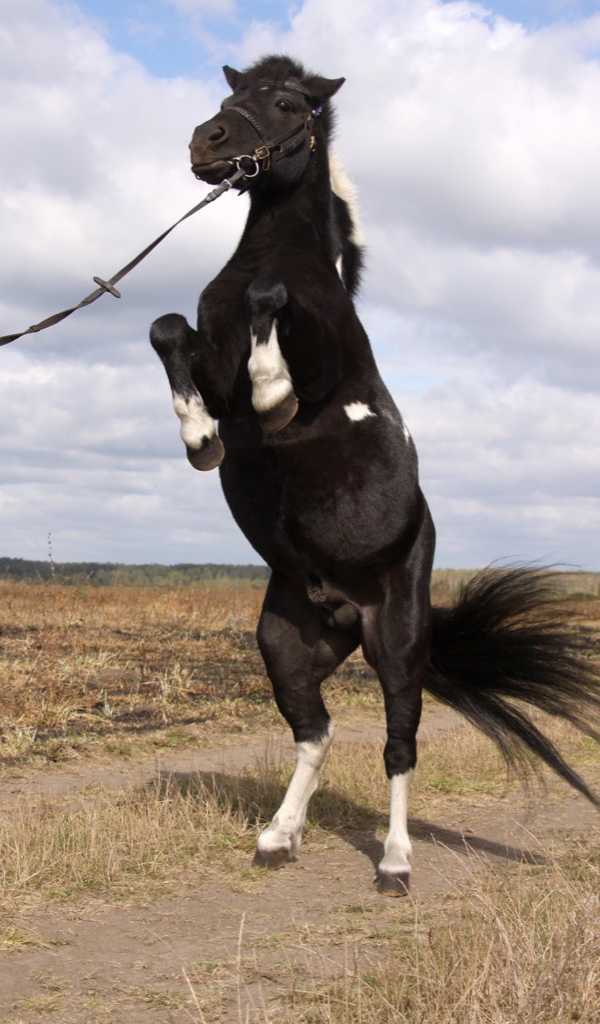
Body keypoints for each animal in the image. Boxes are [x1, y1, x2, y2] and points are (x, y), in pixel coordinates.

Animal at [150, 54, 600, 895]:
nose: (206, 142)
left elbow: (269, 312)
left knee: (398, 744)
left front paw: (274, 392)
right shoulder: (209, 363)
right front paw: (198, 439)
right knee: (316, 732)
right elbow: (167, 330)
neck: (273, 255)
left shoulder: (313, 359)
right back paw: (279, 836)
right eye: (231, 94)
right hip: (287, 643)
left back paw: (394, 862)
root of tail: (346, 609)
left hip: (399, 647)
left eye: (287, 102)